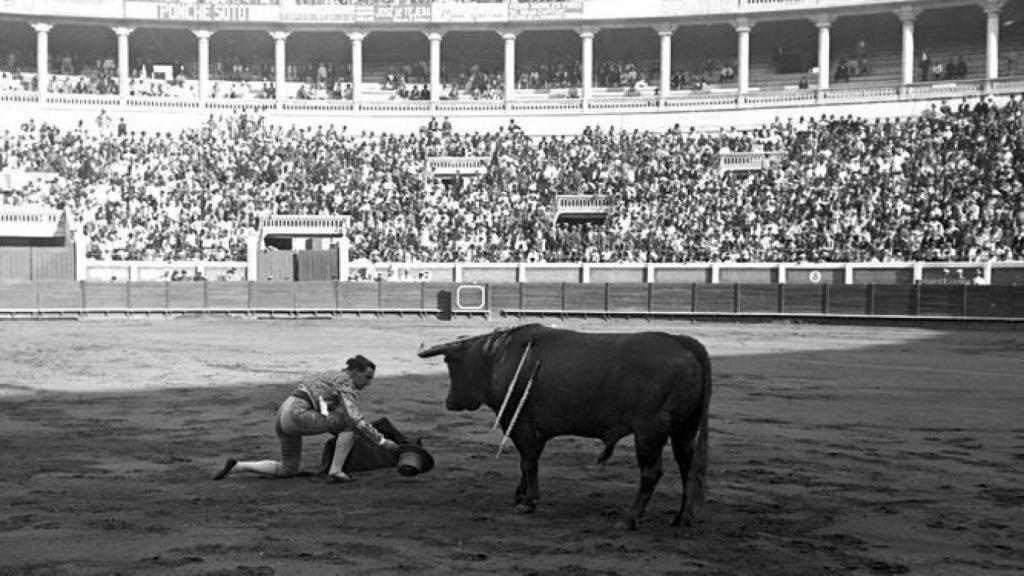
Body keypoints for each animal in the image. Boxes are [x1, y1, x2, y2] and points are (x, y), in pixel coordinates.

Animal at [415, 323, 712, 528]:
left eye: (449, 363)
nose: (450, 402)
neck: (497, 358)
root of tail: (683, 342)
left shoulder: (521, 424)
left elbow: (528, 461)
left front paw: (528, 501)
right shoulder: (532, 430)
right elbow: (527, 461)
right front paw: (520, 496)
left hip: (649, 433)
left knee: (651, 472)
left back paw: (630, 519)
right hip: (684, 431)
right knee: (687, 468)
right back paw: (681, 518)